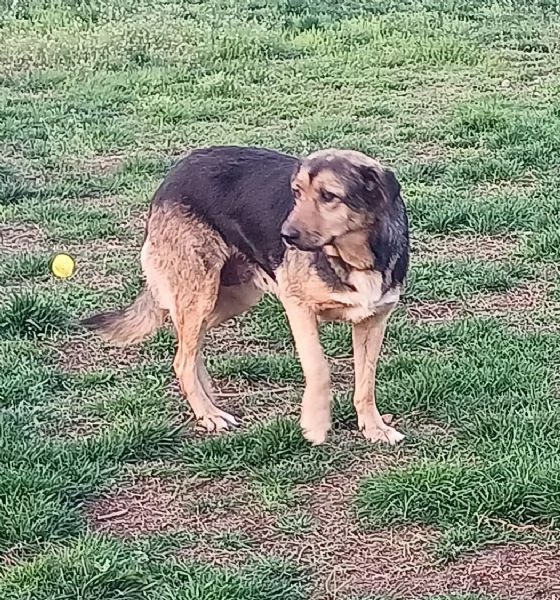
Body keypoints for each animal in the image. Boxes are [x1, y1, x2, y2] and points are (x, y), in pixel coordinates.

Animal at [81, 146, 410, 446]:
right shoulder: (298, 307)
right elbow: (318, 367)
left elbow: (366, 381)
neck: (356, 257)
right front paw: (315, 424)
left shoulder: (374, 320)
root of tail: (176, 170)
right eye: (296, 193)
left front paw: (374, 427)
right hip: (200, 293)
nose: (286, 236)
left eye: (329, 196)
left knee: (187, 348)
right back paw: (208, 413)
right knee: (181, 359)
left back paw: (208, 399)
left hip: (230, 298)